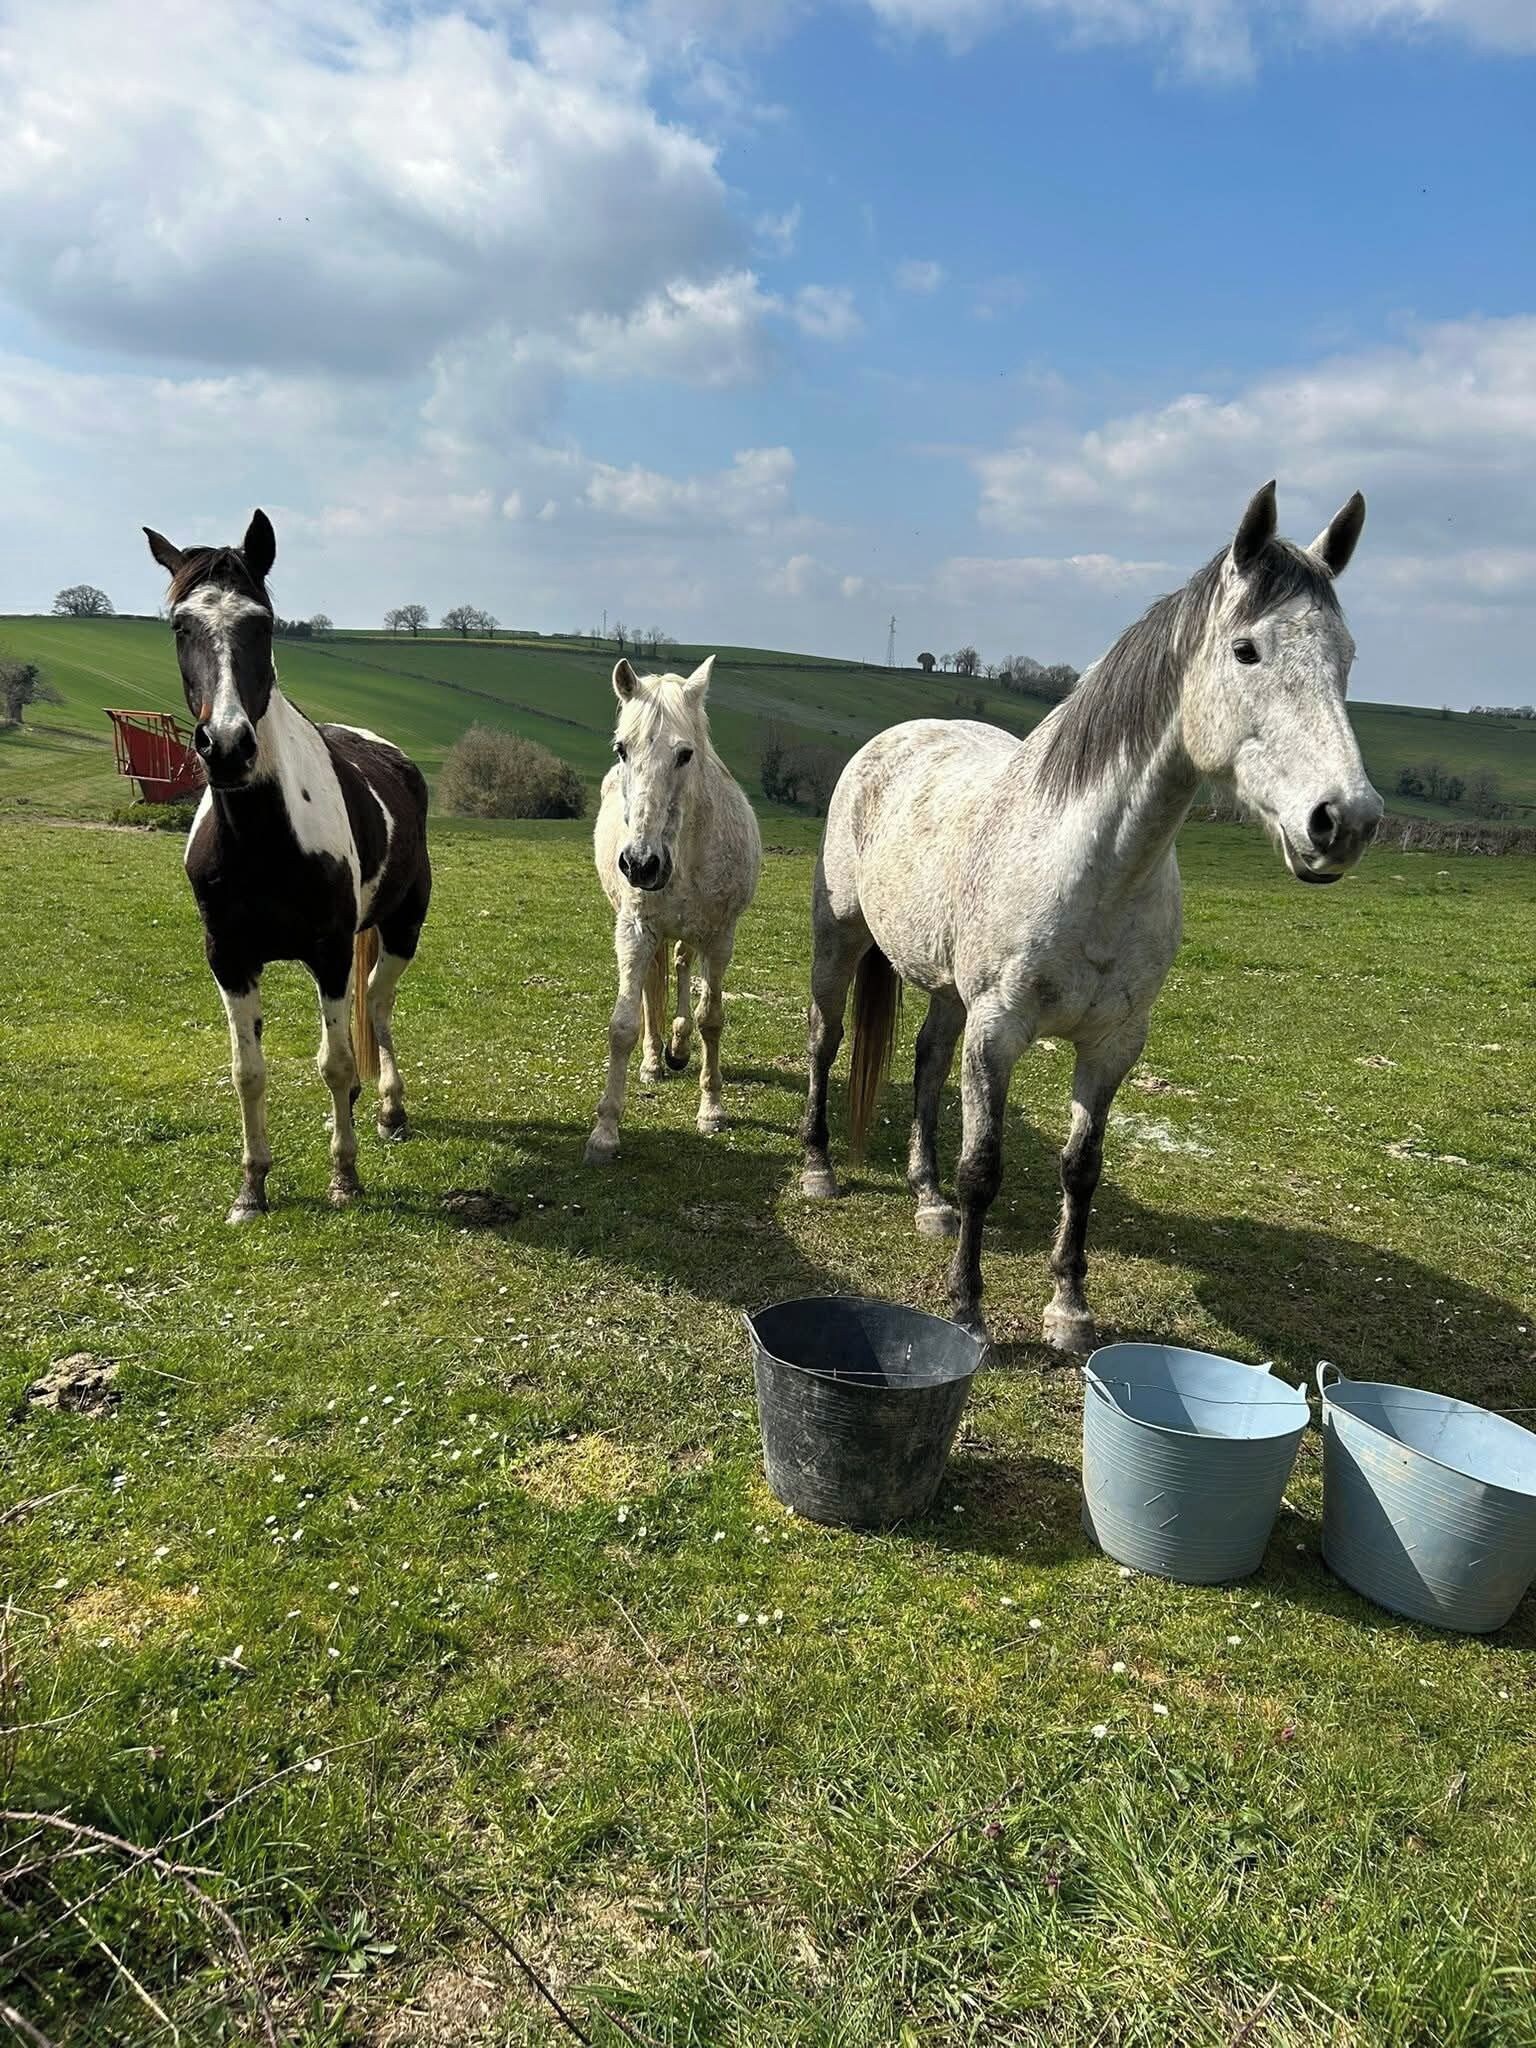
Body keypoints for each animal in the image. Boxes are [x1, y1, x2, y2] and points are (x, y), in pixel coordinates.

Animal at [143, 510, 432, 1223]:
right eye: (180, 625)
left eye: (262, 623)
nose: (226, 746)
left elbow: (335, 1061)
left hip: (401, 929)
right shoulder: (229, 957)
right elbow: (249, 1070)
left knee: (376, 1006)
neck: (264, 839)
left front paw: (345, 1176)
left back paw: (389, 1110)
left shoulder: (329, 951)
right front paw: (252, 1186)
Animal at [585, 656, 762, 1166]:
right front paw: (605, 1130)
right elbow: (623, 1023)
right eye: (622, 749)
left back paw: (680, 1048)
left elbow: (711, 1019)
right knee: (652, 987)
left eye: (685, 754)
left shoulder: (720, 937)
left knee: (683, 971)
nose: (641, 864)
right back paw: (654, 1059)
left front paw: (712, 1109)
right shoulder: (635, 930)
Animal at [800, 481, 1382, 1347]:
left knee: (928, 1064)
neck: (1094, 868)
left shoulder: (1114, 1045)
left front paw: (1069, 1307)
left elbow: (1082, 1168)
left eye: (1345, 659)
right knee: (826, 1038)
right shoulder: (999, 1029)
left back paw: (928, 1201)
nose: (1344, 822)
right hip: (839, 942)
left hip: (946, 990)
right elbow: (986, 1166)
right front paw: (967, 1307)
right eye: (1246, 651)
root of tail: (895, 738)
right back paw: (819, 1168)